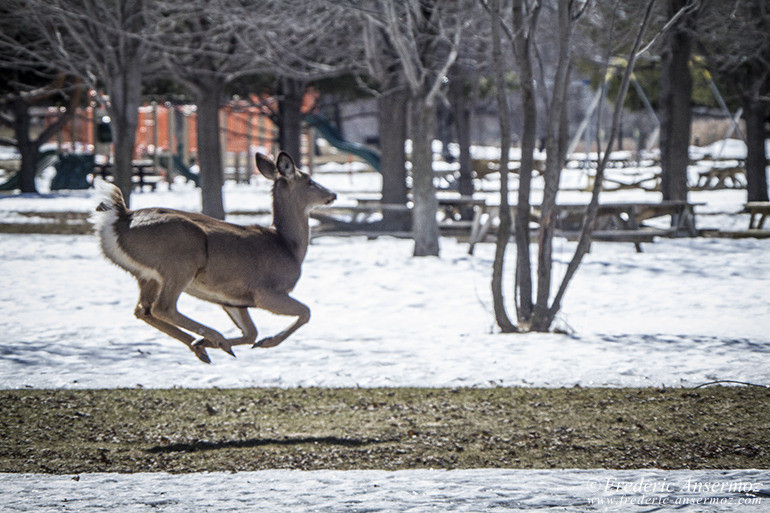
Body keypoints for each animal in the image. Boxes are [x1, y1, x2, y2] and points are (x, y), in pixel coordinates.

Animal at [94, 152, 334, 364]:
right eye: (310, 181)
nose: (332, 194)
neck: (287, 245)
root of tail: (119, 219)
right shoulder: (266, 292)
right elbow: (306, 312)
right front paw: (266, 342)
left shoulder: (232, 299)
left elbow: (251, 333)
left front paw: (209, 344)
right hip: (180, 262)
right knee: (163, 308)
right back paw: (214, 339)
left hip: (147, 276)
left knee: (142, 310)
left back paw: (202, 346)